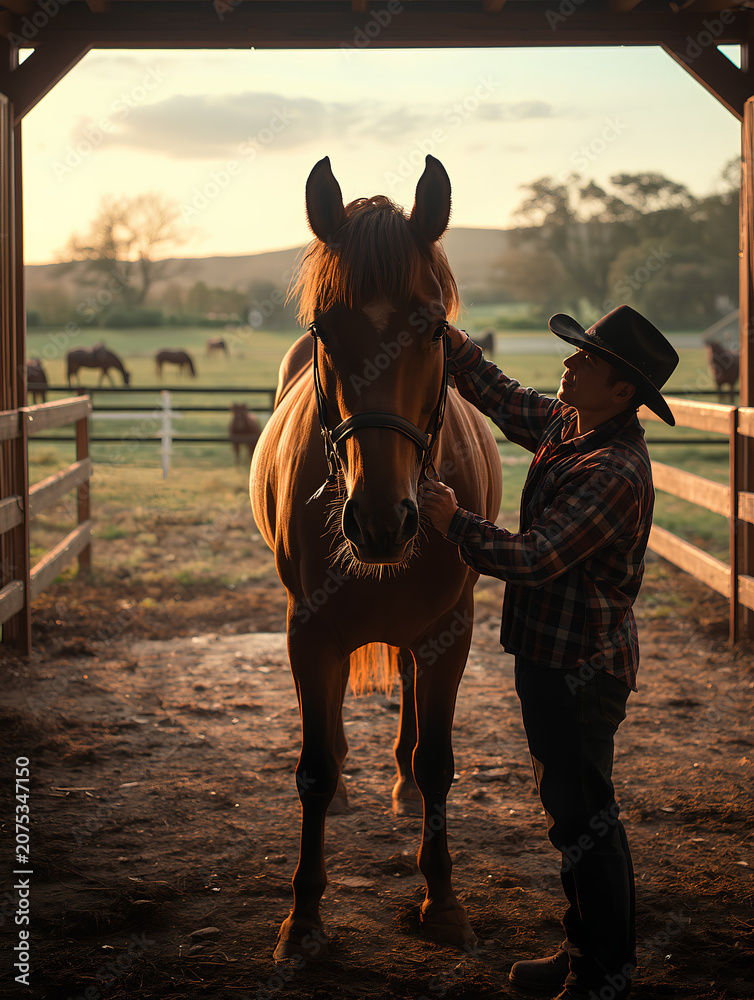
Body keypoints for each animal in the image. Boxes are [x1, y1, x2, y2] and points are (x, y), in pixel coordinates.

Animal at [250, 156, 502, 960]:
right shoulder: (308, 632)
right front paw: (303, 917)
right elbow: (313, 769)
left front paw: (443, 902)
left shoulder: (449, 633)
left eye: (433, 327)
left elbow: (439, 762)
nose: (381, 522)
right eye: (325, 329)